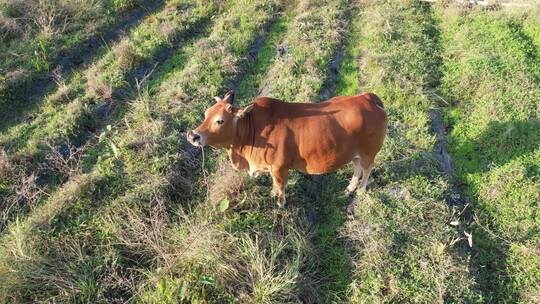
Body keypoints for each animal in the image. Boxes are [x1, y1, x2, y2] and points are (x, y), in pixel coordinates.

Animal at [188, 91, 386, 208]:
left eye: (220, 120)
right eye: (206, 114)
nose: (193, 136)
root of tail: (369, 98)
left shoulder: (279, 168)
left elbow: (280, 185)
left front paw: (280, 203)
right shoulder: (270, 167)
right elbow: (274, 184)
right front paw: (272, 193)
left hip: (369, 152)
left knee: (367, 170)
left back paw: (360, 190)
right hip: (356, 154)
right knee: (357, 167)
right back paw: (349, 188)